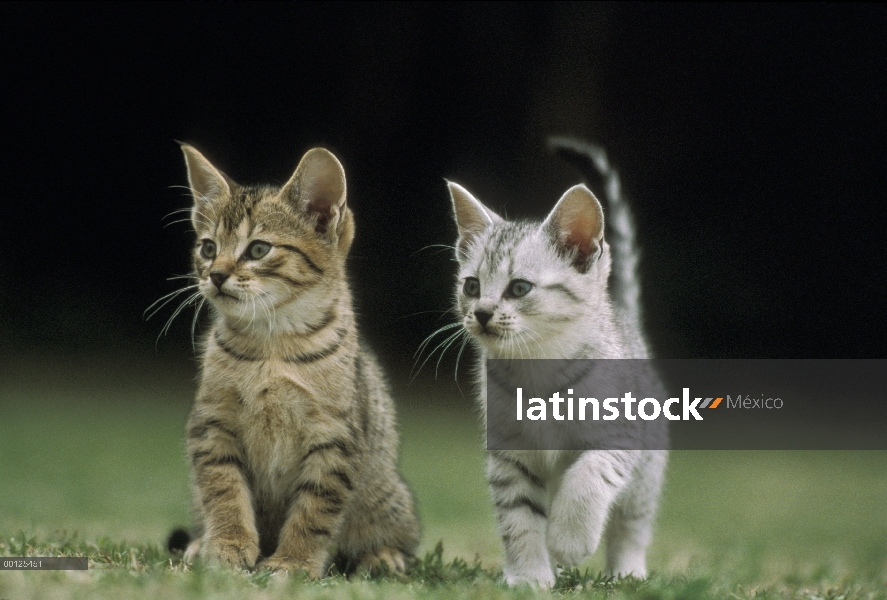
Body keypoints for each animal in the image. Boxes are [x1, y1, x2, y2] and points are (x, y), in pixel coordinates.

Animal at [178, 144, 424, 576]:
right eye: (208, 248)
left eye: (259, 249)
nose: (216, 275)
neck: (272, 345)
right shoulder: (213, 424)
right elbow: (224, 492)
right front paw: (227, 545)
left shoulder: (335, 439)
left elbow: (314, 510)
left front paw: (293, 562)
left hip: (387, 497)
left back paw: (382, 556)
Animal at [450, 141, 664, 584]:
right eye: (471, 286)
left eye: (519, 288)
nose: (481, 313)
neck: (537, 368)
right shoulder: (509, 454)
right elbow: (519, 517)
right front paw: (529, 576)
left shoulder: (621, 436)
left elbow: (587, 478)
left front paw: (570, 539)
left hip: (647, 471)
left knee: (632, 522)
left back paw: (627, 570)